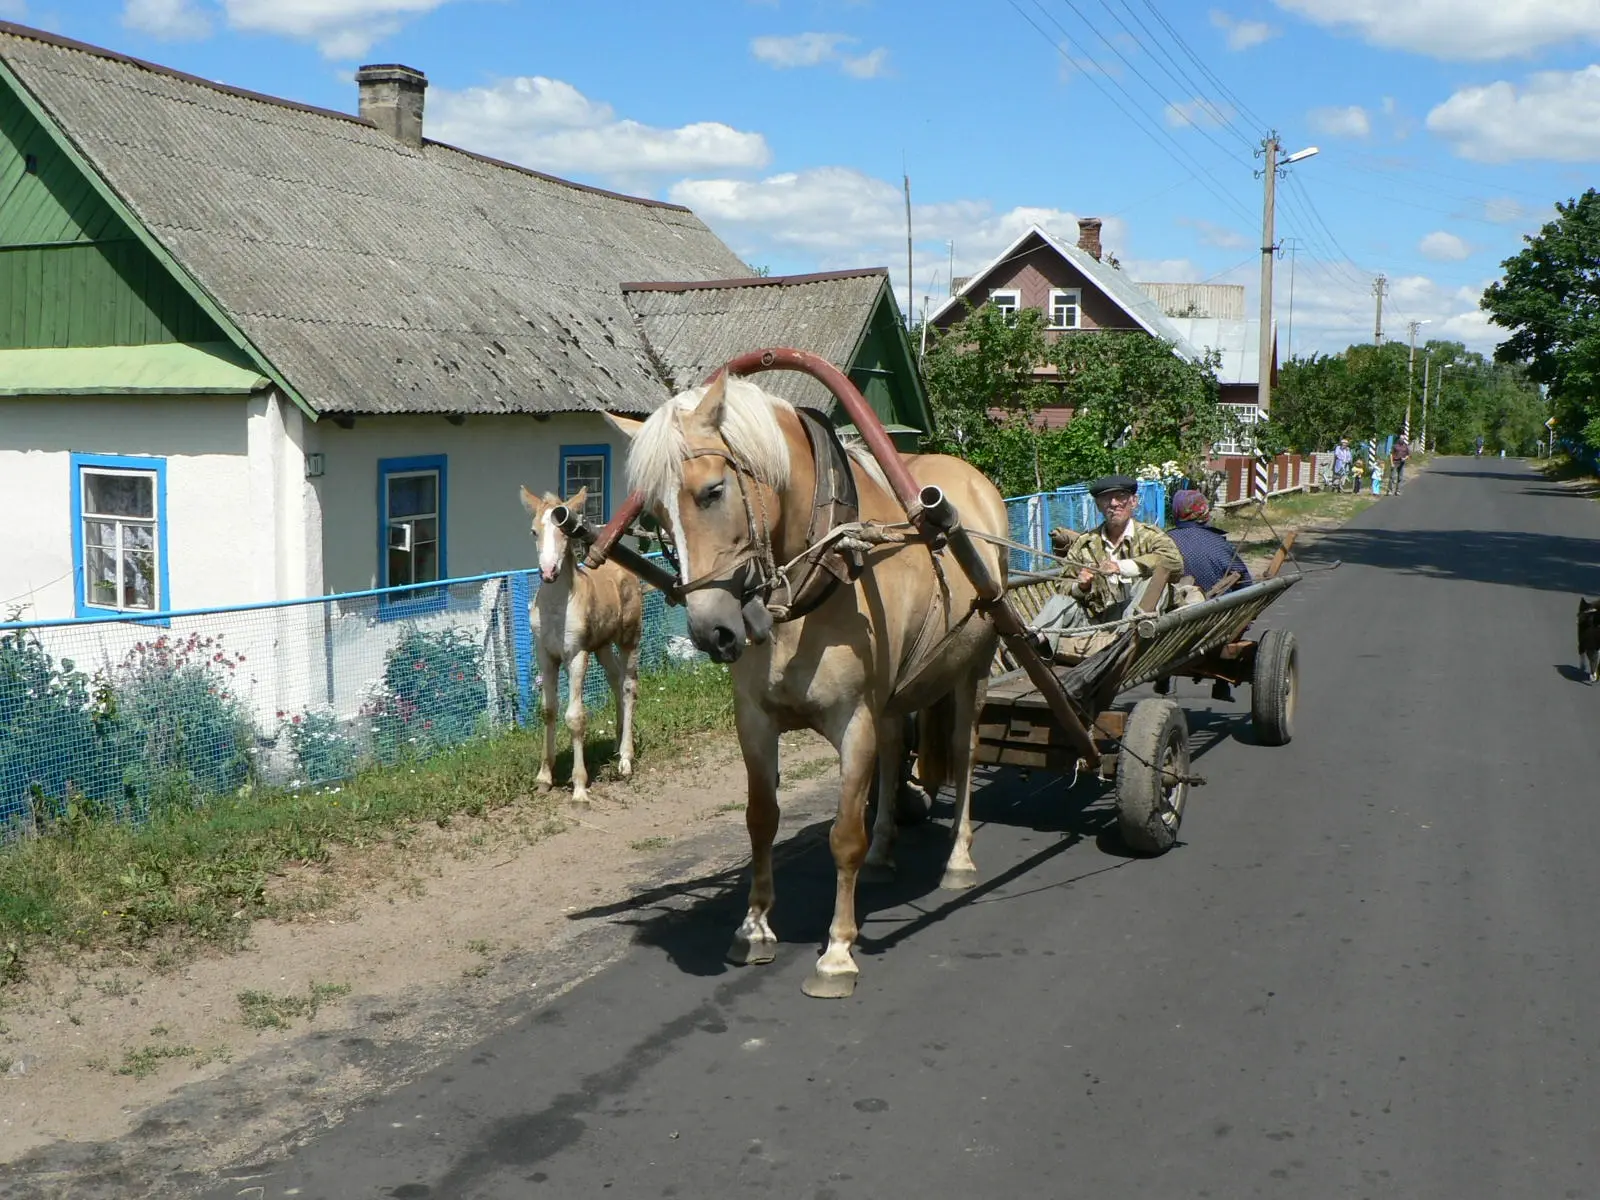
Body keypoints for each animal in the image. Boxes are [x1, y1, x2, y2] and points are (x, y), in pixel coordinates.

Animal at [518, 489, 643, 809]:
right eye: (533, 531)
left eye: (564, 532)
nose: (548, 572)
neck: (557, 607)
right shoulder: (545, 655)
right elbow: (548, 710)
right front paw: (544, 778)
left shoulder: (576, 655)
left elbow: (575, 717)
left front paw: (579, 789)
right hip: (601, 646)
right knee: (614, 679)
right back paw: (617, 743)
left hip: (629, 637)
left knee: (628, 685)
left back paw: (626, 759)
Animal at [604, 380, 1004, 998]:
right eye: (655, 514)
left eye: (712, 491)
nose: (711, 632)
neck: (817, 576)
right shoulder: (754, 719)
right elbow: (760, 819)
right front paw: (754, 928)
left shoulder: (854, 721)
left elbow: (843, 836)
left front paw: (837, 952)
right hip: (894, 698)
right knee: (895, 751)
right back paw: (885, 849)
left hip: (974, 667)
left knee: (964, 753)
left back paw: (958, 859)